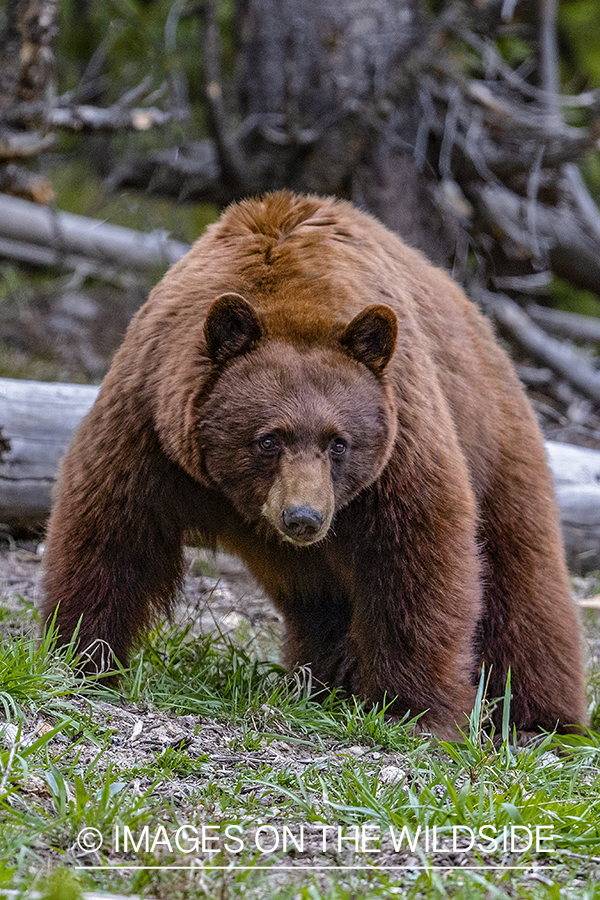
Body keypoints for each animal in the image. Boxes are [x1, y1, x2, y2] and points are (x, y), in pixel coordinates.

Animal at [42, 190, 584, 740]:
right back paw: (325, 681)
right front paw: (80, 657)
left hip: (493, 442)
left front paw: (414, 711)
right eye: (268, 440)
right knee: (322, 605)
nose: (304, 517)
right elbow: (113, 531)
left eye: (339, 443)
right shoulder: (152, 422)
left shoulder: (400, 437)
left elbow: (418, 558)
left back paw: (543, 720)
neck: (296, 297)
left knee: (523, 583)